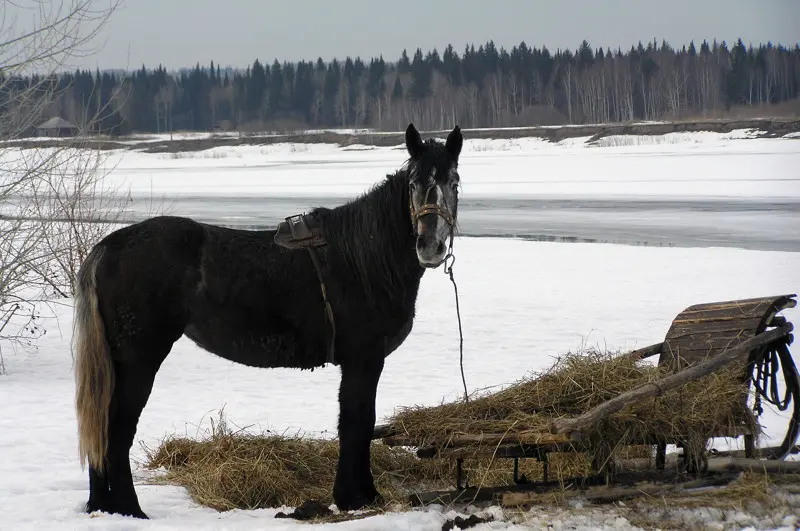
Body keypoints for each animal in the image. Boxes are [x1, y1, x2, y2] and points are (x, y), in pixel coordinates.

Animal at [72, 122, 466, 516]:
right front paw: (353, 498)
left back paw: (101, 505)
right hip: (139, 359)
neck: (365, 258)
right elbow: (358, 422)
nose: (429, 246)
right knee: (116, 429)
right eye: (413, 183)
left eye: (454, 181)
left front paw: (363, 494)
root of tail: (109, 247)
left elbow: (358, 423)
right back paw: (130, 509)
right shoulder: (363, 359)